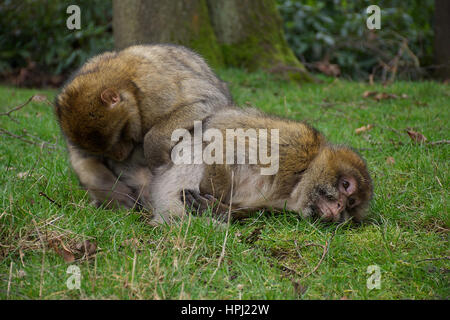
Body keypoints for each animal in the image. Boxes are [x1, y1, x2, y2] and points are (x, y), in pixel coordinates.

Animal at [53, 45, 232, 210]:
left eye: (120, 133)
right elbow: (83, 159)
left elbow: (207, 102)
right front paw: (117, 195)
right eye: (105, 151)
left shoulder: (154, 89)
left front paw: (156, 156)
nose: (119, 156)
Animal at [147, 107, 372, 225]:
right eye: (345, 185)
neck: (298, 182)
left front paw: (219, 210)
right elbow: (221, 133)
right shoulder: (295, 145)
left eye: (351, 203)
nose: (341, 206)